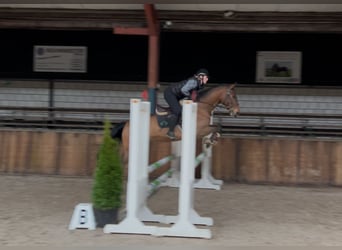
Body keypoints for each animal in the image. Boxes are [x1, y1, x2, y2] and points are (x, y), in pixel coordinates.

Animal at [111, 84, 239, 165]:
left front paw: (210, 140)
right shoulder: (198, 130)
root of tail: (126, 123)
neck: (201, 108)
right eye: (233, 96)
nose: (236, 111)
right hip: (129, 146)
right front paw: (210, 140)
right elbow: (217, 126)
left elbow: (217, 127)